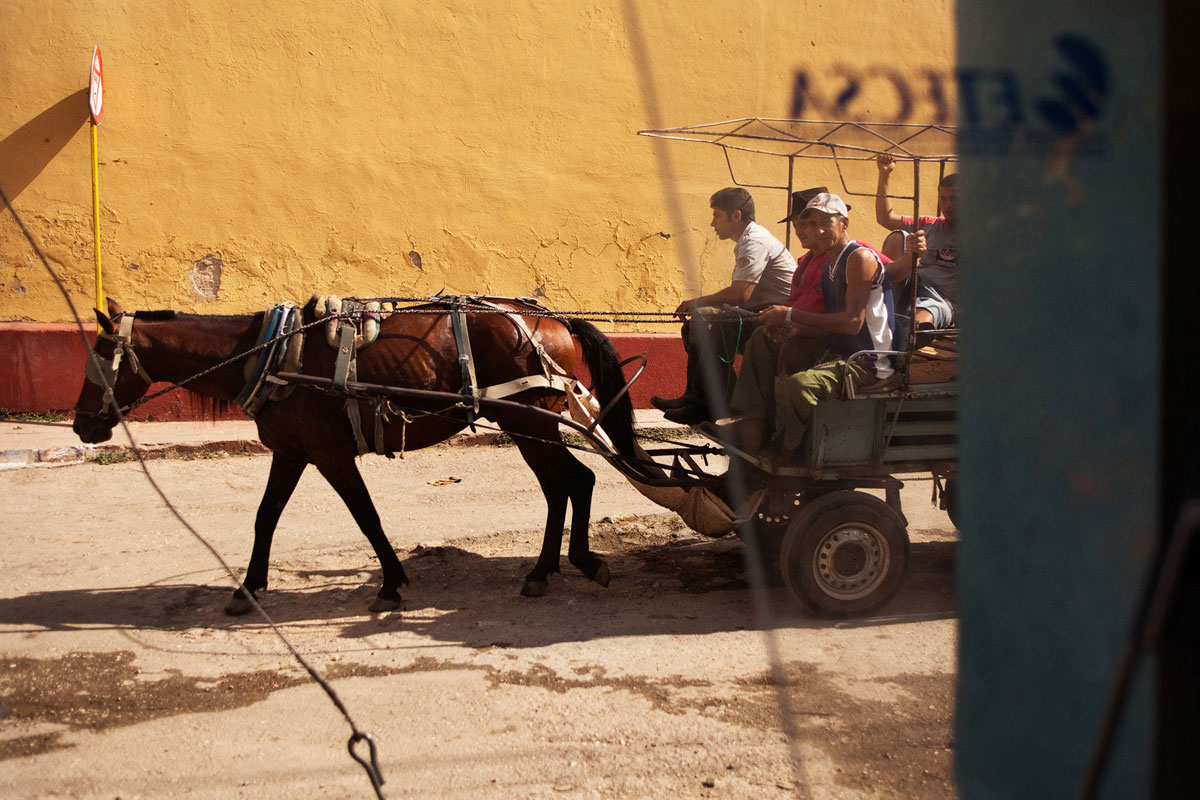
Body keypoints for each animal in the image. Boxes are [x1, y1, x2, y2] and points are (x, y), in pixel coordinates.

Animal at [72, 297, 638, 618]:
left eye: (97, 360)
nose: (81, 425)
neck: (269, 357)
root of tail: (549, 319)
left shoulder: (330, 454)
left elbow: (366, 517)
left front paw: (390, 584)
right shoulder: (291, 452)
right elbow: (265, 518)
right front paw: (249, 588)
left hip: (531, 423)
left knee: (576, 482)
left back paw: (577, 563)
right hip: (526, 425)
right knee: (561, 488)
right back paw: (544, 570)